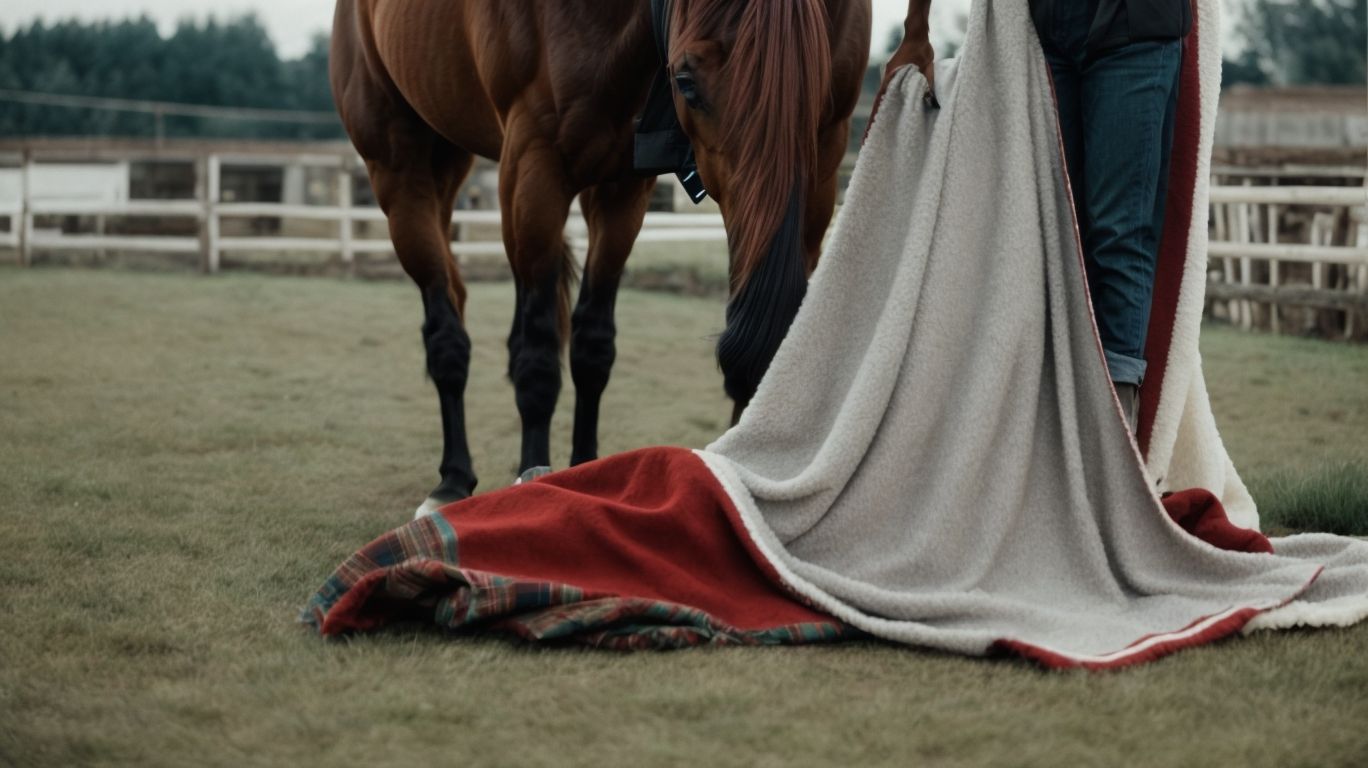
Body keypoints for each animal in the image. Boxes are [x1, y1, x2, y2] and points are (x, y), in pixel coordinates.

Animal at [331, 0, 874, 515]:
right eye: (685, 83)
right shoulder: (532, 169)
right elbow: (538, 355)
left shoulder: (627, 188)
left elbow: (592, 346)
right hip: (401, 170)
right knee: (446, 331)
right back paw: (452, 481)